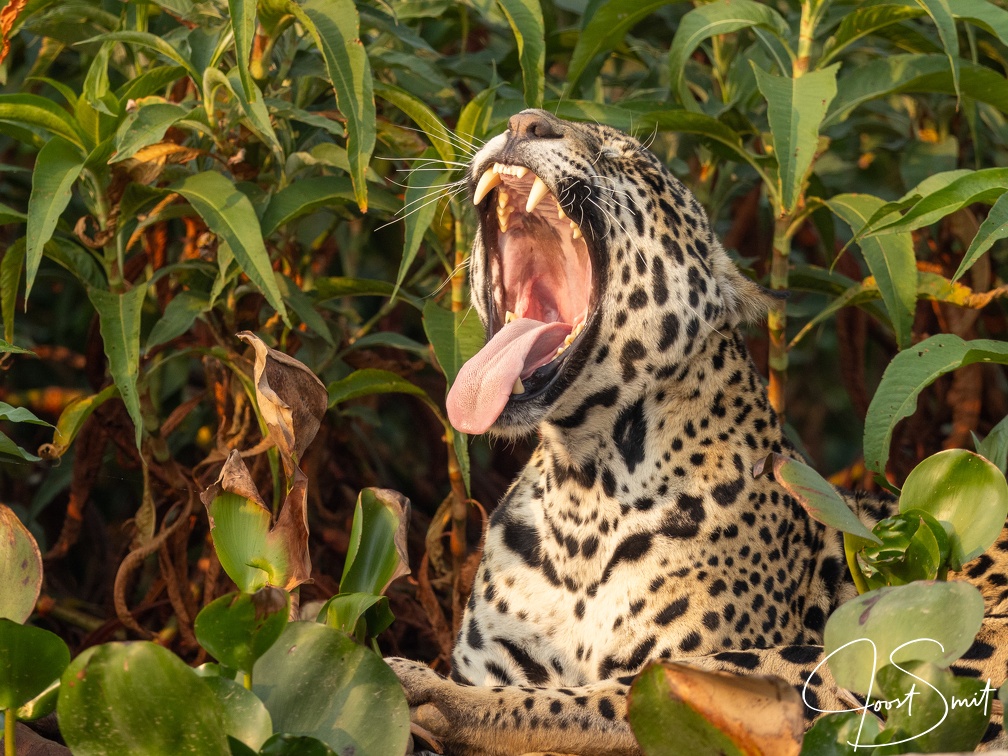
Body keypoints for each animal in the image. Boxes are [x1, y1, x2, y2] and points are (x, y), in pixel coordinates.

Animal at [388, 109, 1008, 756]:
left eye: (628, 160)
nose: (524, 121)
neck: (583, 491)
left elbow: (581, 701)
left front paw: (430, 692)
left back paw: (421, 690)